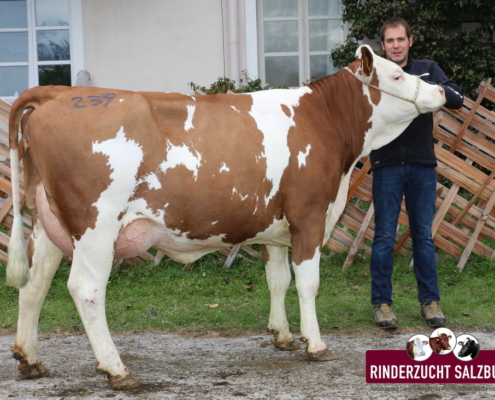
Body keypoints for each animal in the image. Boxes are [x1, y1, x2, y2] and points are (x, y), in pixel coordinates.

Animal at [4, 45, 446, 390]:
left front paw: (282, 335)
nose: (441, 89)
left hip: (47, 224)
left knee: (35, 285)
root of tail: (59, 93)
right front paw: (315, 344)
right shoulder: (308, 216)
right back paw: (117, 369)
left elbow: (278, 280)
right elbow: (308, 283)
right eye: (397, 74)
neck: (324, 121)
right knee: (85, 289)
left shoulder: (275, 228)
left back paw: (30, 359)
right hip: (96, 226)